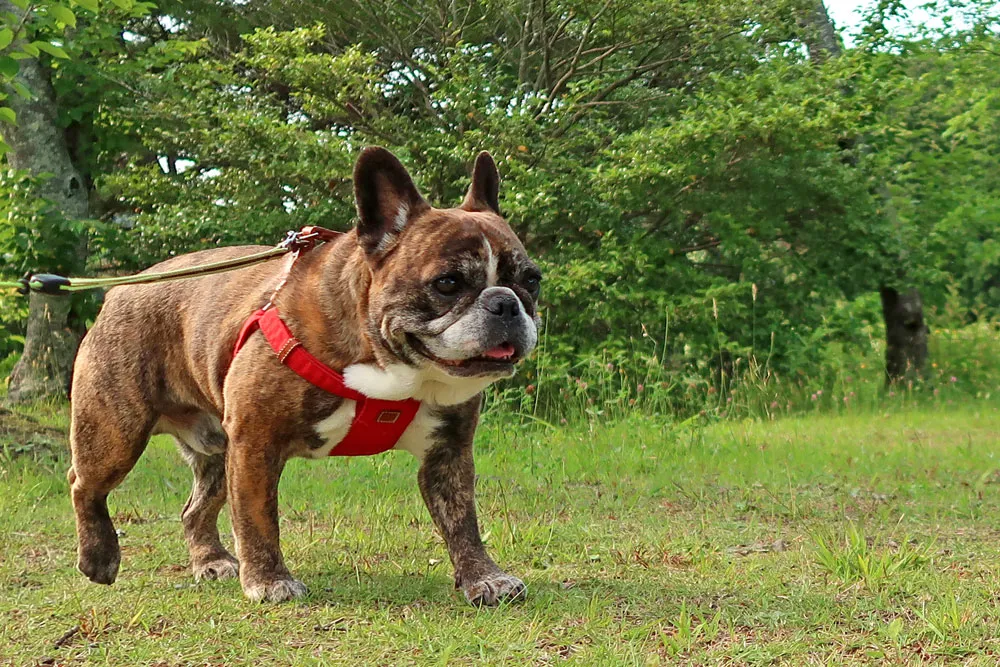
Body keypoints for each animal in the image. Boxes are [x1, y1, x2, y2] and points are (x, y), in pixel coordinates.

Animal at [67, 149, 544, 608]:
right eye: (447, 283)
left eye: (532, 280)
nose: (505, 303)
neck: (394, 367)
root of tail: (123, 287)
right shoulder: (256, 444)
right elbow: (258, 518)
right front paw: (268, 581)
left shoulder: (448, 451)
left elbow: (462, 520)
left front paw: (484, 577)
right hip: (115, 433)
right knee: (84, 484)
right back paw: (99, 557)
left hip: (219, 449)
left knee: (195, 508)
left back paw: (212, 561)